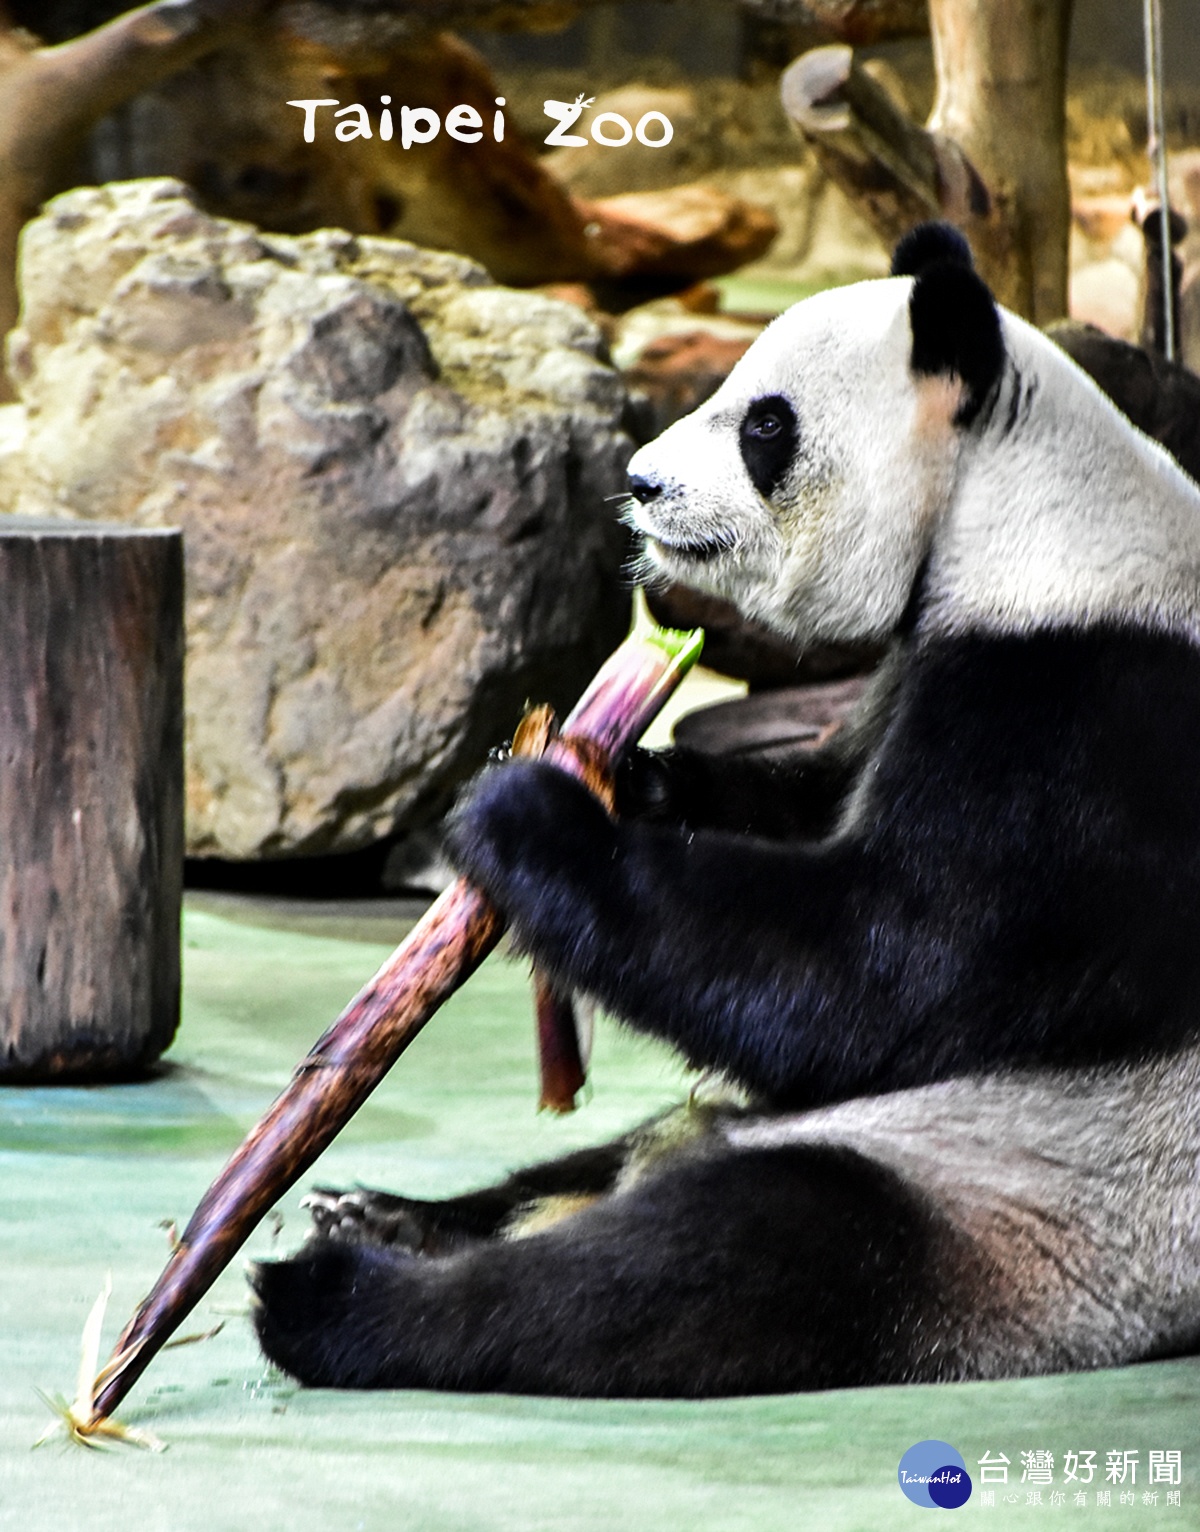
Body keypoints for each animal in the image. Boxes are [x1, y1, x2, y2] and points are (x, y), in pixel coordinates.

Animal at [248, 229, 1200, 1403]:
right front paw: (631, 774)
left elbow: (891, 963)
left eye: (764, 424)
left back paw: (340, 1295)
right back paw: (390, 1214)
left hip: (1015, 1205)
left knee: (700, 1264)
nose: (639, 483)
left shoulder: (1090, 713)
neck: (1026, 520)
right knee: (599, 1179)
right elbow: (810, 804)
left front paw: (529, 815)